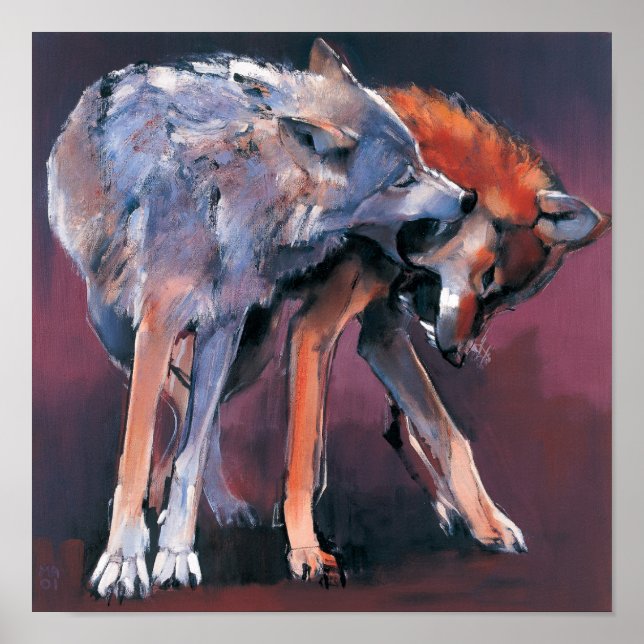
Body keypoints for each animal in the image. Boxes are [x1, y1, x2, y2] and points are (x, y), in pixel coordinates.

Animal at [47, 39, 474, 598]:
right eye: (402, 179)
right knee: (173, 402)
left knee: (197, 417)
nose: (468, 198)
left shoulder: (223, 325)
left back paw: (222, 507)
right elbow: (135, 456)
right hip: (123, 328)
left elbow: (192, 454)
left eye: (421, 160)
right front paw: (123, 563)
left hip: (251, 350)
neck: (236, 192)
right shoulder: (157, 327)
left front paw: (176, 555)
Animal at [169, 84, 609, 581]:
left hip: (251, 351)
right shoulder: (313, 330)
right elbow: (305, 459)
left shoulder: (382, 338)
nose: (455, 356)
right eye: (487, 280)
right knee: (185, 404)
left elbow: (449, 438)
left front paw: (487, 523)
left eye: (500, 304)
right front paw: (305, 549)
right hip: (250, 351)